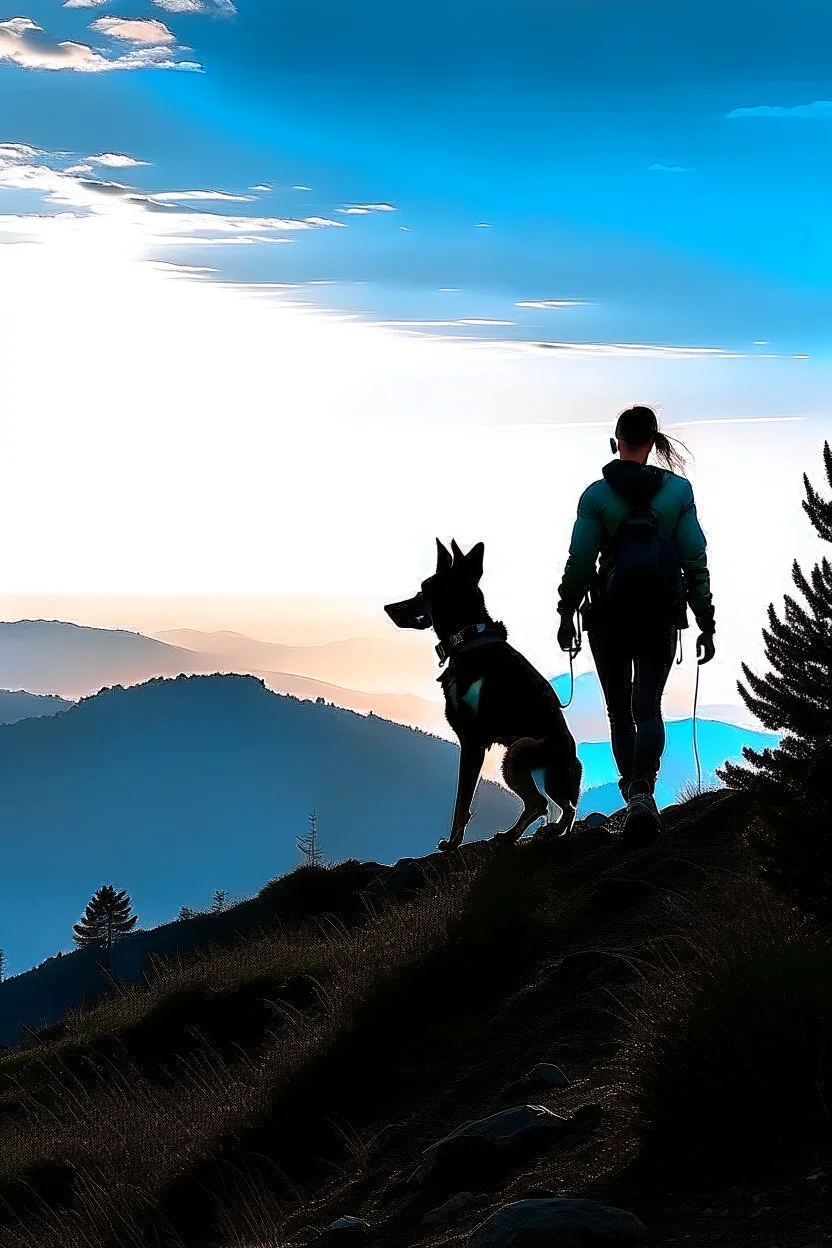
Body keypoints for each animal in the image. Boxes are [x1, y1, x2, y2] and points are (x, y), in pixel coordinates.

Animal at [384, 541, 578, 853]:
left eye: (423, 590)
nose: (388, 608)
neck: (468, 638)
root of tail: (574, 760)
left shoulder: (472, 740)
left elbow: (462, 801)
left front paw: (453, 843)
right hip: (543, 772)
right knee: (561, 805)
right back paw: (544, 832)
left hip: (518, 751)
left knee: (543, 804)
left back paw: (517, 835)